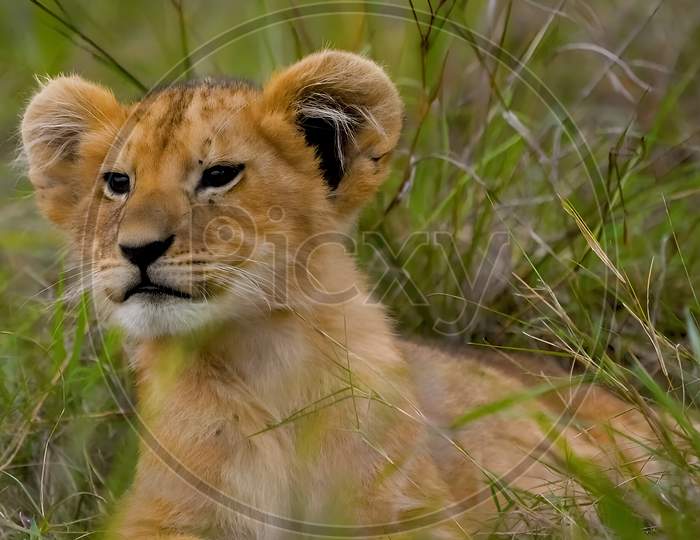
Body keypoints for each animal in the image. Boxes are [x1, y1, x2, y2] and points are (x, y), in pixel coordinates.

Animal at [21, 50, 657, 539]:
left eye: (219, 174)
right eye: (117, 183)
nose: (138, 249)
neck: (257, 355)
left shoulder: (414, 511)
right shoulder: (160, 517)